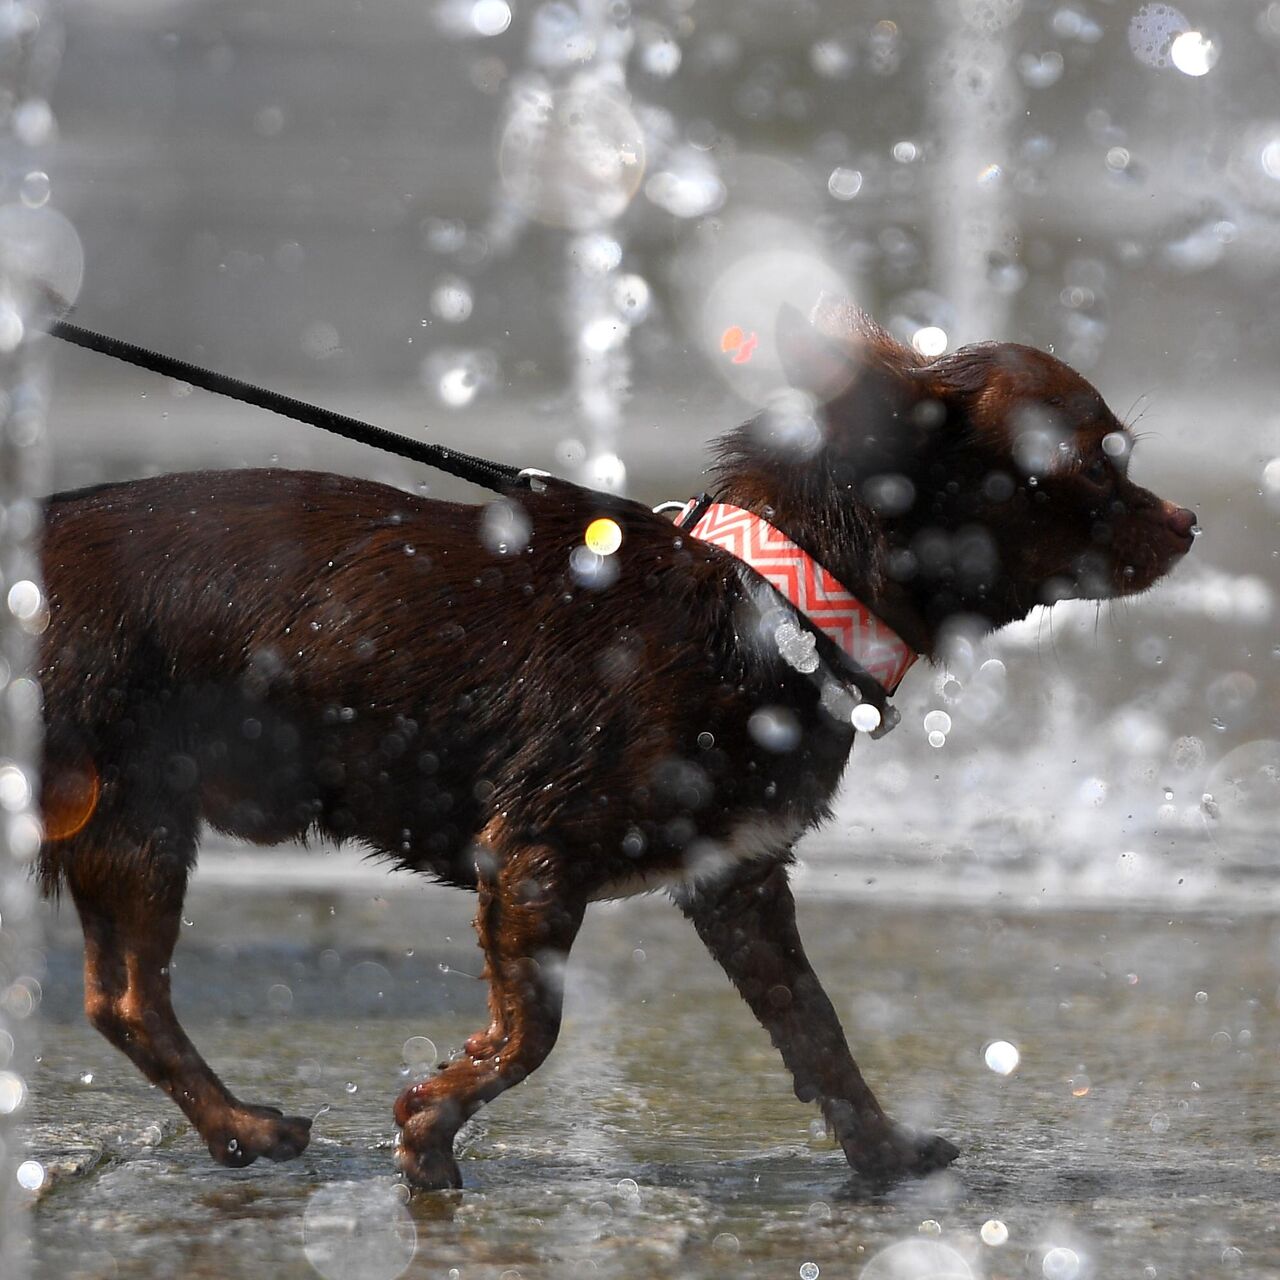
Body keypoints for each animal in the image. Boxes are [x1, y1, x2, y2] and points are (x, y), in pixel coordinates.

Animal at [40, 302, 1198, 1187]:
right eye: (1094, 466)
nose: (1189, 522)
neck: (776, 599)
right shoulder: (532, 860)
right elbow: (532, 1032)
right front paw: (431, 1127)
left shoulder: (734, 878)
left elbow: (816, 1031)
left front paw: (883, 1153)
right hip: (131, 814)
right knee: (131, 994)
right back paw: (246, 1128)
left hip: (123, 823)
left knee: (117, 998)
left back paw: (236, 1131)